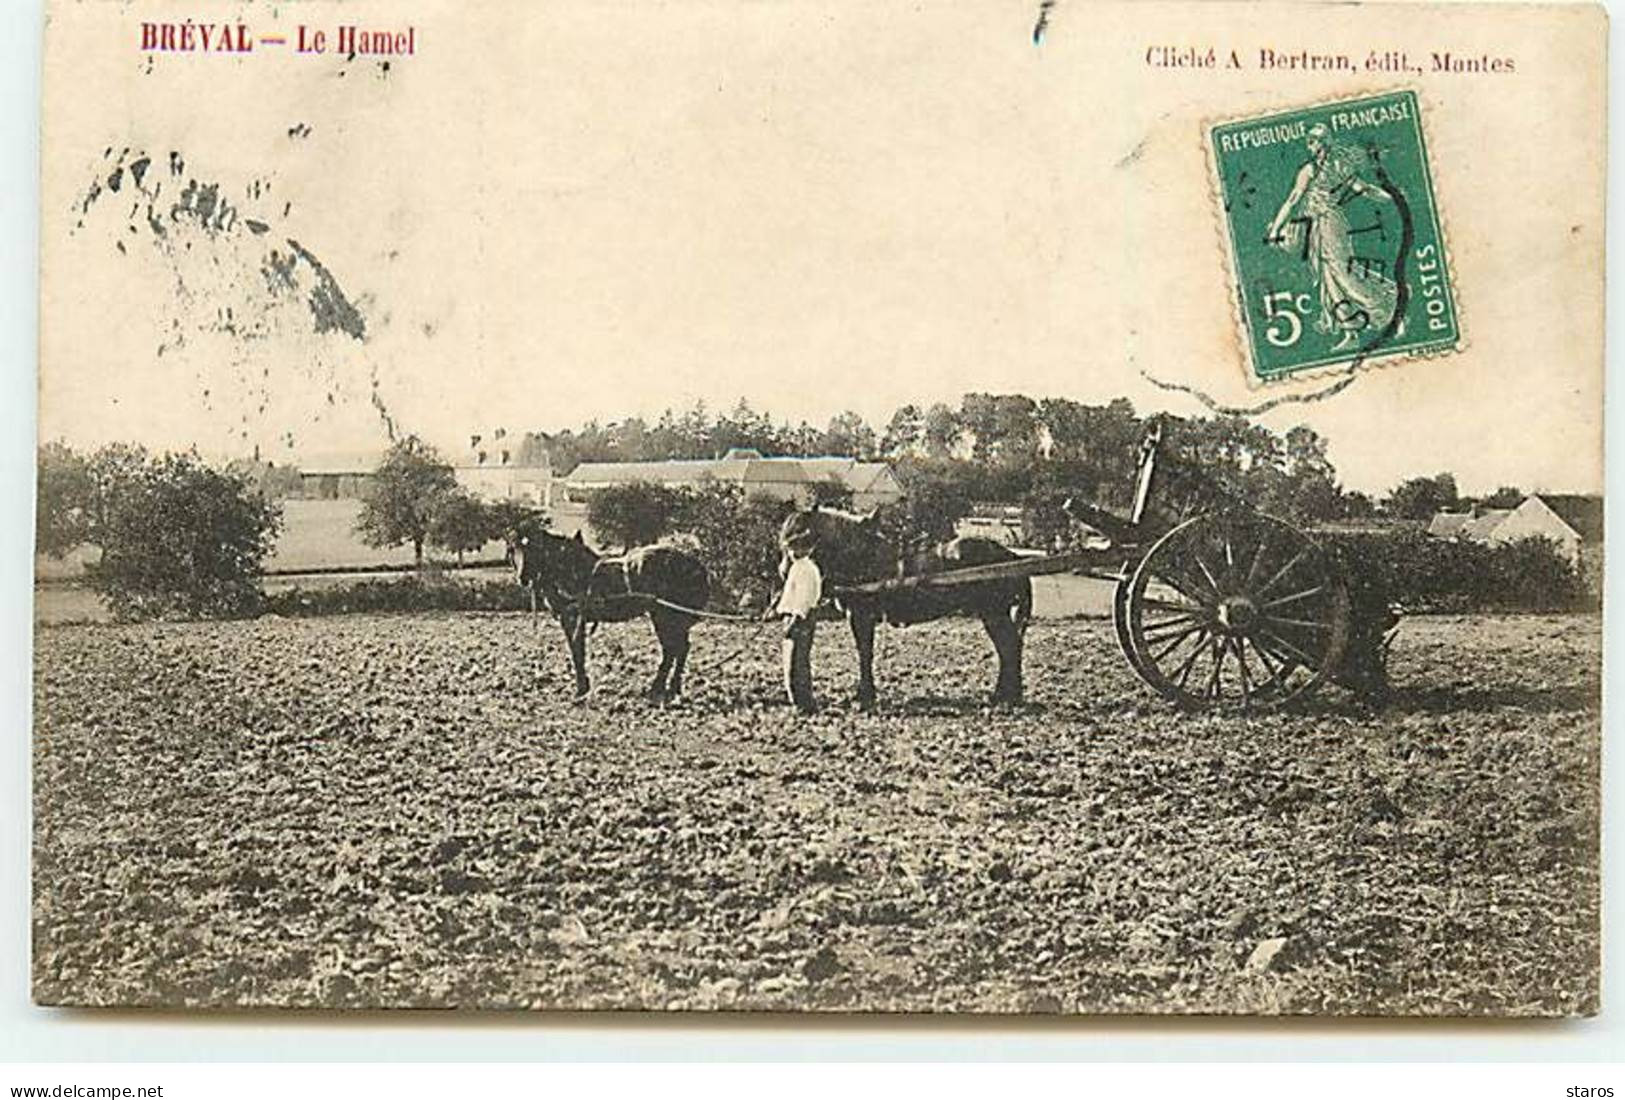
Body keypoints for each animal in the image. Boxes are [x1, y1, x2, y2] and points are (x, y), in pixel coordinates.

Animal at [507, 526, 711, 698]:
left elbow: (576, 652)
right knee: (680, 648)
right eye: (513, 550)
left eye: (534, 548)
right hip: (672, 618)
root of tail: (695, 564)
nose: (522, 578)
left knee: (673, 649)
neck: (568, 570)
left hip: (665, 616)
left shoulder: (572, 618)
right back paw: (672, 687)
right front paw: (584, 686)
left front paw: (580, 689)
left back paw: (659, 688)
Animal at [780, 506, 1033, 705]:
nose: (783, 571)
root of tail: (1010, 555)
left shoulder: (861, 615)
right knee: (1009, 647)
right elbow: (865, 652)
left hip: (993, 613)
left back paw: (1006, 696)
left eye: (800, 538)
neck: (861, 555)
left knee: (1009, 647)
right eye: (784, 541)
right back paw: (1007, 694)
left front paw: (864, 695)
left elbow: (865, 653)